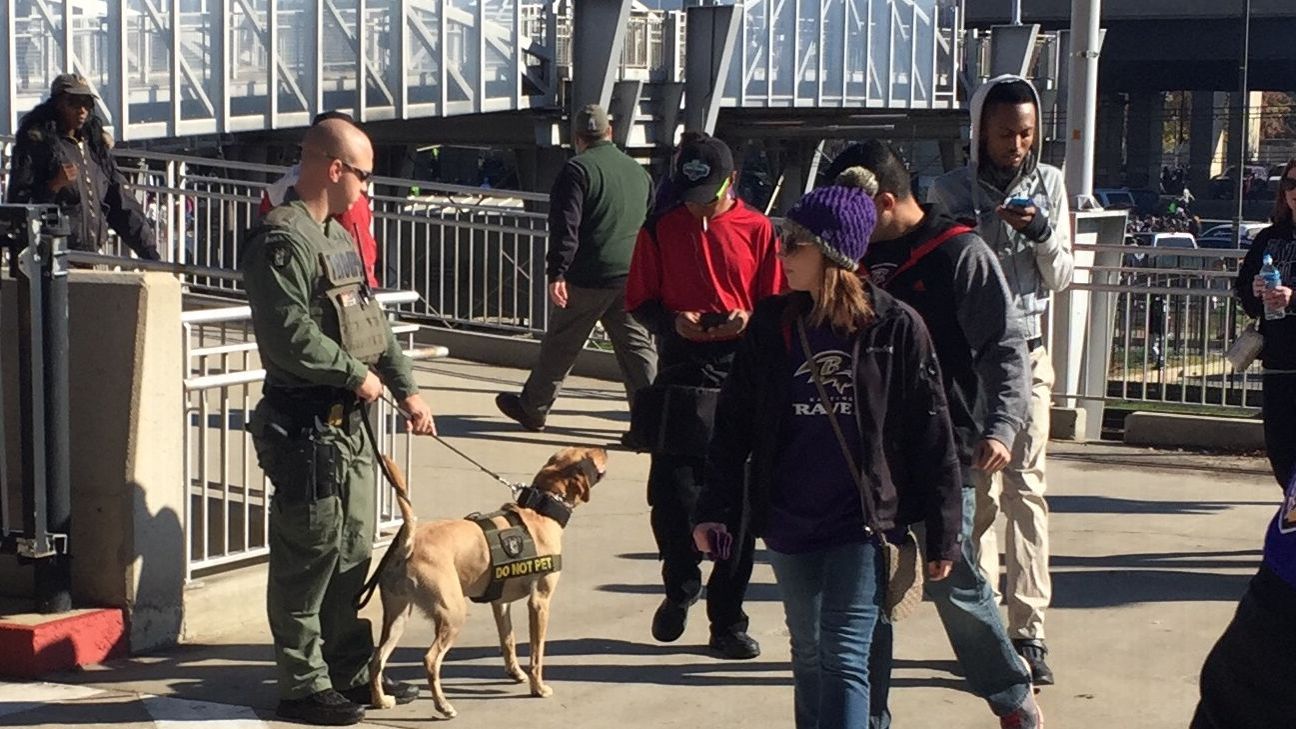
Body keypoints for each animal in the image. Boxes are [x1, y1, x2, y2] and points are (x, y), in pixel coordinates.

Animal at [368, 443, 603, 716]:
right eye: (590, 453)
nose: (604, 449)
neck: (540, 511)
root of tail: (409, 542)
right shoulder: (539, 602)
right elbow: (537, 652)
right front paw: (538, 687)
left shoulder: (500, 603)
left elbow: (508, 640)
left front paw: (515, 673)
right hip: (452, 615)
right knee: (430, 660)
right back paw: (443, 706)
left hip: (397, 616)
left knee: (376, 659)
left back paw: (380, 700)